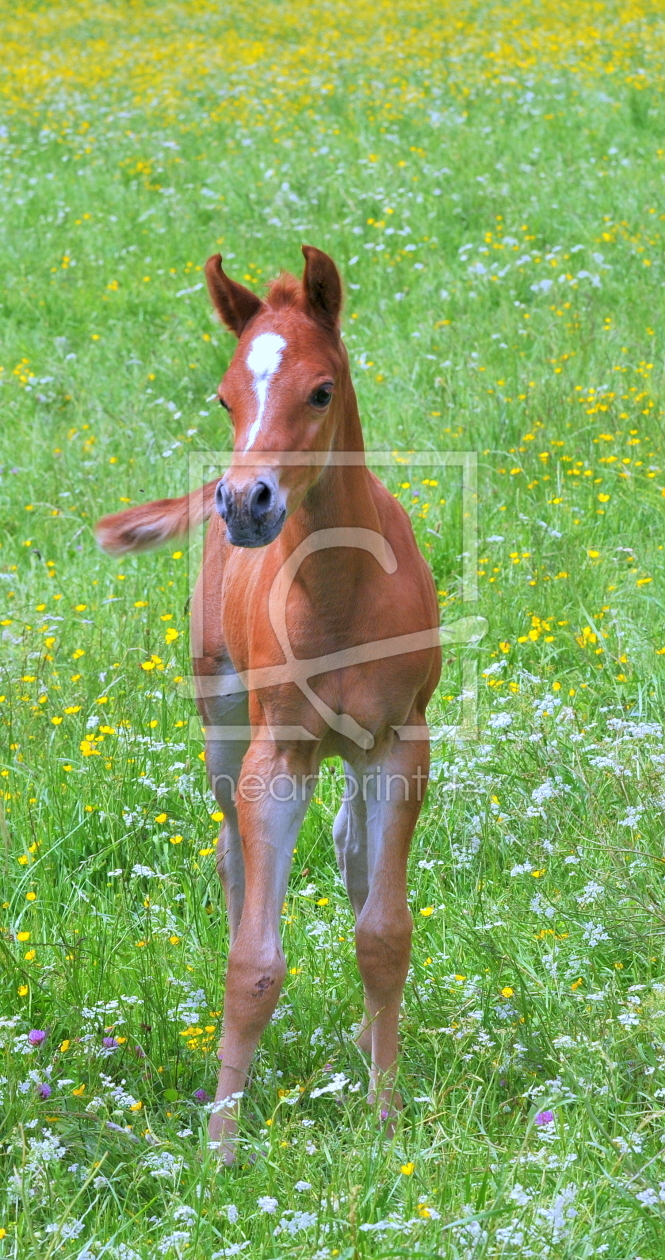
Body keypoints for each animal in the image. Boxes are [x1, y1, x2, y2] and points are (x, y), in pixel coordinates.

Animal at [96, 245, 440, 1159]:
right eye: (225, 397)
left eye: (320, 390)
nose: (245, 503)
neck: (342, 592)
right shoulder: (273, 756)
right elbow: (252, 961)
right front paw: (219, 1146)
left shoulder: (400, 743)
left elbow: (382, 933)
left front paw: (385, 1118)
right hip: (223, 728)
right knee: (232, 858)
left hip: (350, 755)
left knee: (352, 849)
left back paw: (360, 1040)